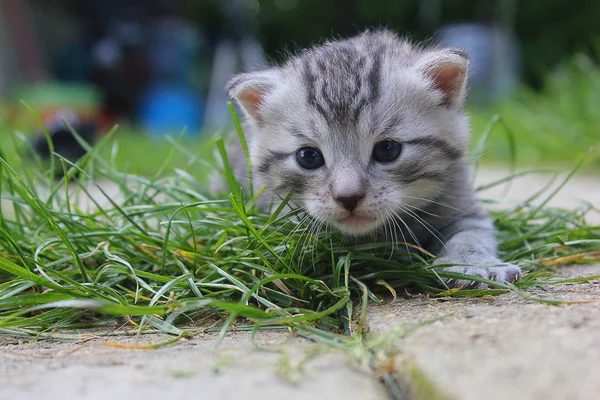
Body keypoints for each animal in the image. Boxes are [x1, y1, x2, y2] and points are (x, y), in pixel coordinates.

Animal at [223, 29, 524, 290]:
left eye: (388, 150)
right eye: (308, 157)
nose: (348, 198)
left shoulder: (461, 201)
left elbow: (472, 232)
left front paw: (475, 264)